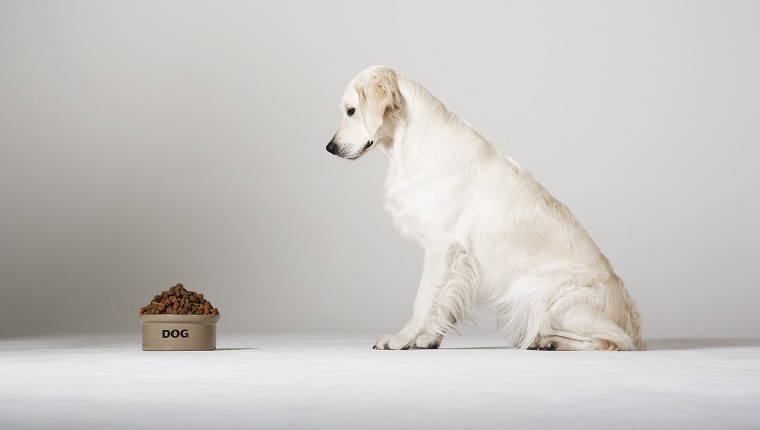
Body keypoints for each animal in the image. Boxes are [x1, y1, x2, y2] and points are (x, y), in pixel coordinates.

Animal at [326, 65, 640, 352]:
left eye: (351, 111)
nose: (330, 147)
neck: (411, 143)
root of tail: (633, 321)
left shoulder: (442, 244)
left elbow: (423, 298)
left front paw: (402, 338)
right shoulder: (455, 257)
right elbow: (442, 301)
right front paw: (427, 339)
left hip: (542, 294)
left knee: (611, 341)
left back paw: (547, 341)